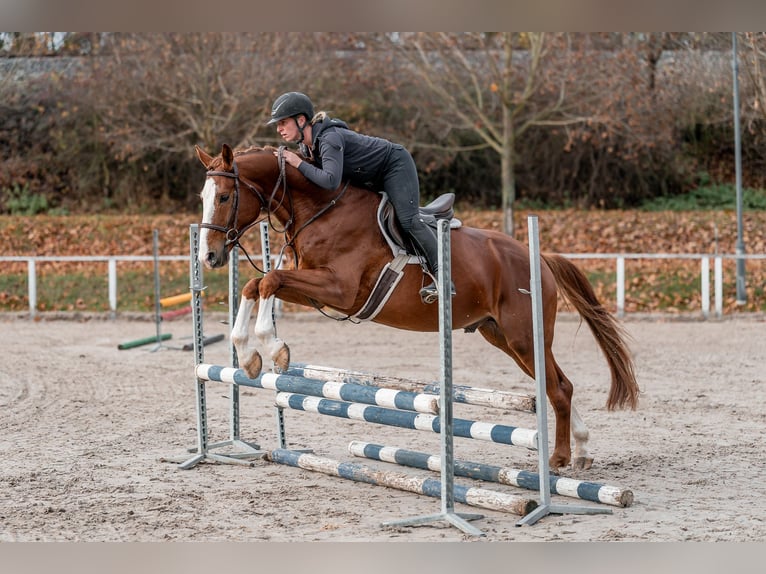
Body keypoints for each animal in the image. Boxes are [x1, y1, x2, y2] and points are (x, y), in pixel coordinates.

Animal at [194, 143, 639, 472]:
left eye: (226, 196)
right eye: (203, 198)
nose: (209, 256)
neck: (321, 208)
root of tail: (539, 257)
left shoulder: (340, 288)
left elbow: (268, 280)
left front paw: (272, 349)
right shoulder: (316, 288)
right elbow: (255, 284)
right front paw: (249, 356)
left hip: (524, 336)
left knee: (558, 388)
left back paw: (558, 459)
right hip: (503, 337)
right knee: (557, 384)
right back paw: (581, 451)